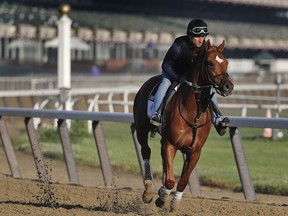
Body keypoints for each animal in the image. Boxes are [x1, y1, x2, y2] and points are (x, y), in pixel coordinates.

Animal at [133, 38, 234, 211]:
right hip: (141, 129)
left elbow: (183, 180)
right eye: (210, 63)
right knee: (146, 151)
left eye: (226, 62)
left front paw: (174, 201)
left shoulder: (195, 151)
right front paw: (162, 198)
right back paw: (148, 191)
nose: (228, 86)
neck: (193, 114)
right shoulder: (171, 144)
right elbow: (171, 180)